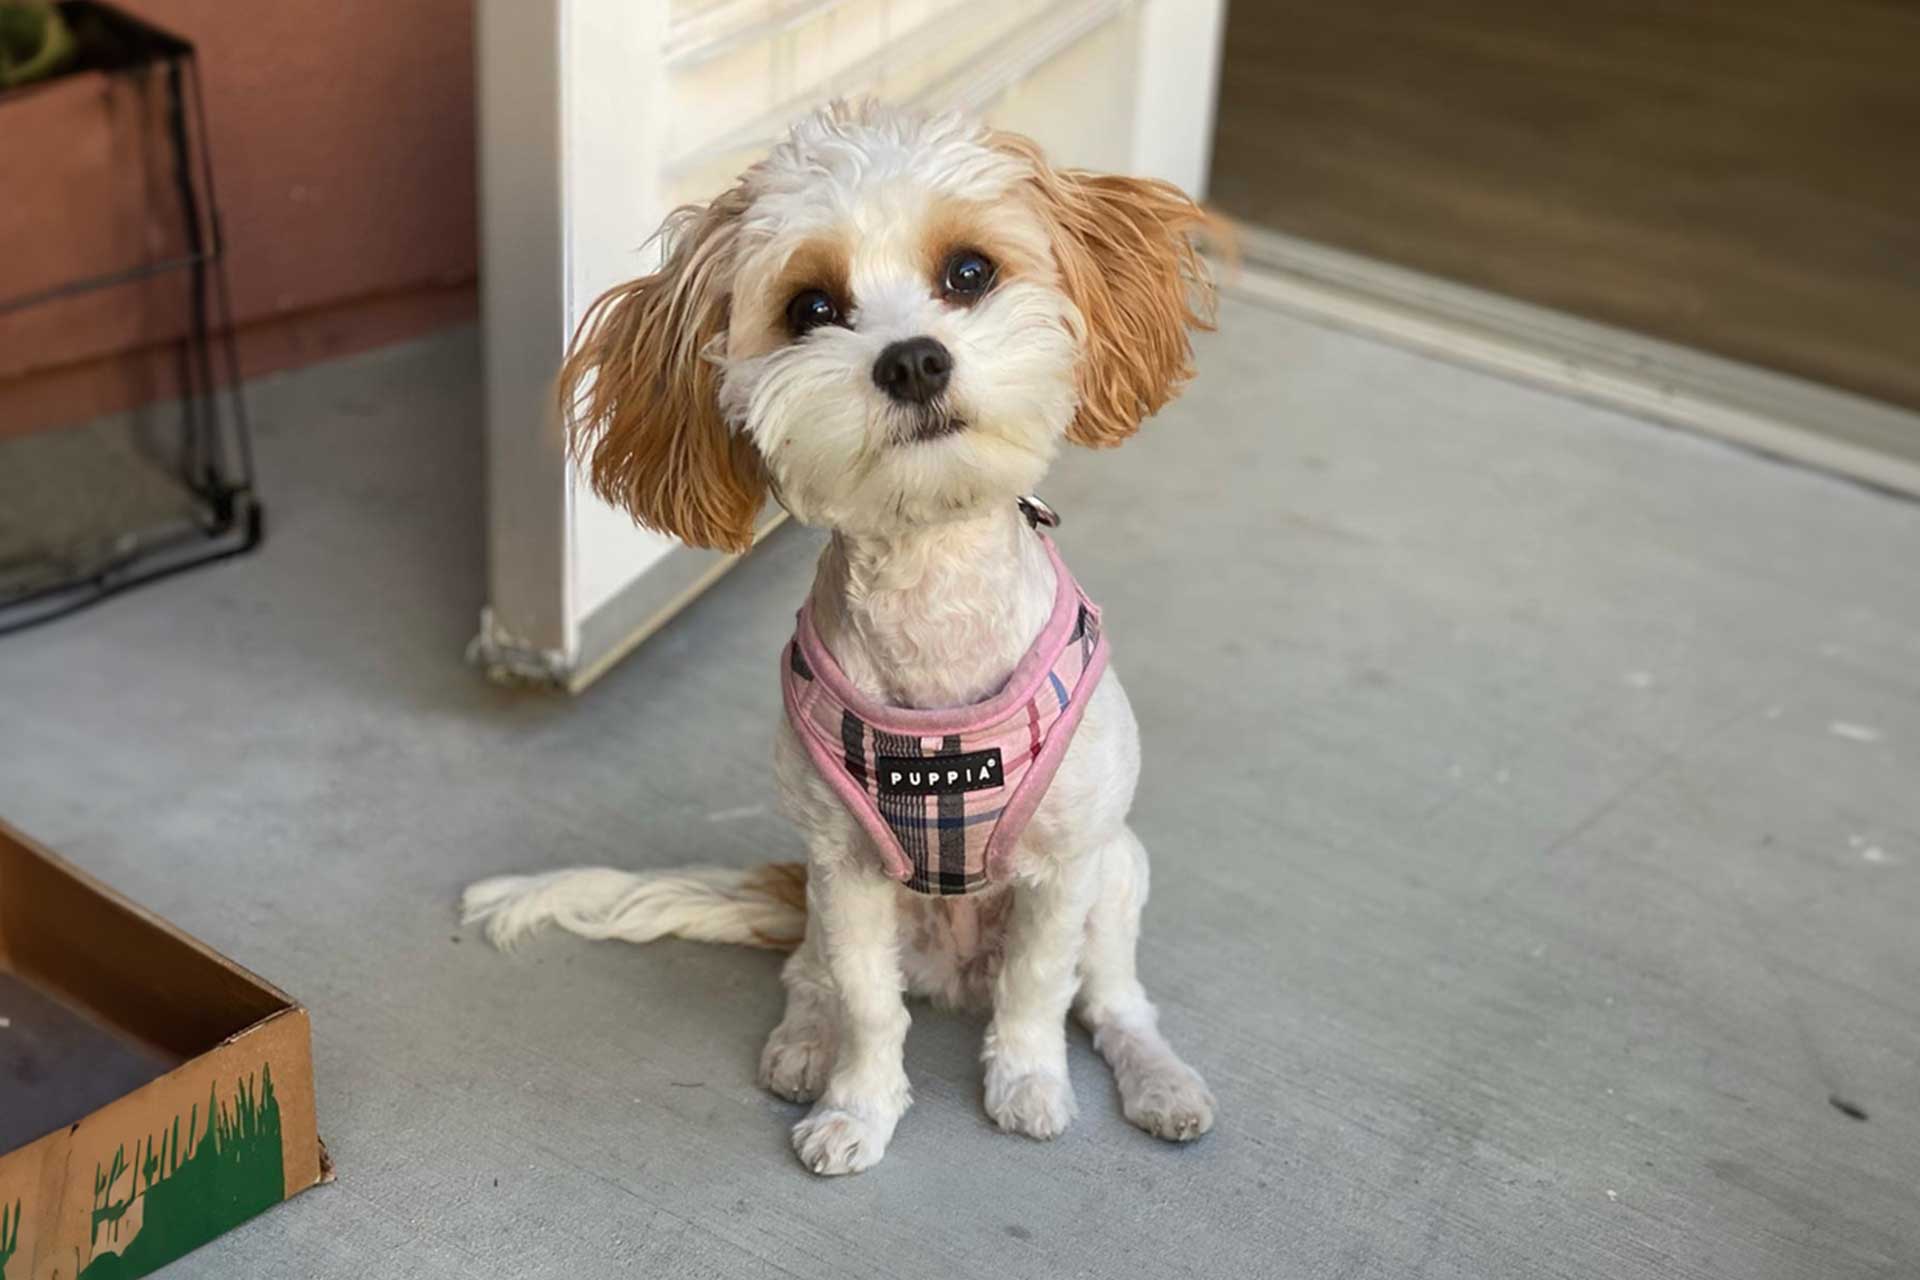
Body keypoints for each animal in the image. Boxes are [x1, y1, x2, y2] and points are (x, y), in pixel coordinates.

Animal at [464, 100, 1213, 1174]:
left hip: (1120, 871)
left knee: (1114, 1003)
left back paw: (1159, 1082)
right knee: (812, 977)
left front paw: (1028, 1084)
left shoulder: (1067, 866)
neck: (932, 591)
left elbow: (1038, 989)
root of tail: (954, 968)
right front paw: (857, 1107)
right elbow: (869, 1009)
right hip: (825, 891)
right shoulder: (850, 876)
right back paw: (802, 1044)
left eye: (970, 273)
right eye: (811, 308)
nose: (913, 358)